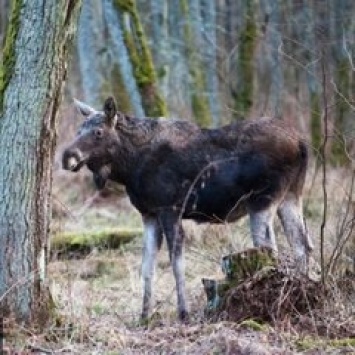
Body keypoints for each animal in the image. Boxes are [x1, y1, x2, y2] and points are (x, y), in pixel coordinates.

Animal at [63, 97, 314, 322]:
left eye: (98, 132)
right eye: (78, 130)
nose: (67, 156)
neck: (129, 166)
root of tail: (302, 143)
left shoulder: (169, 208)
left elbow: (176, 263)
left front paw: (183, 314)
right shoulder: (149, 213)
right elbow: (147, 266)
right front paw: (144, 316)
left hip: (263, 200)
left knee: (271, 248)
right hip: (291, 195)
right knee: (302, 245)